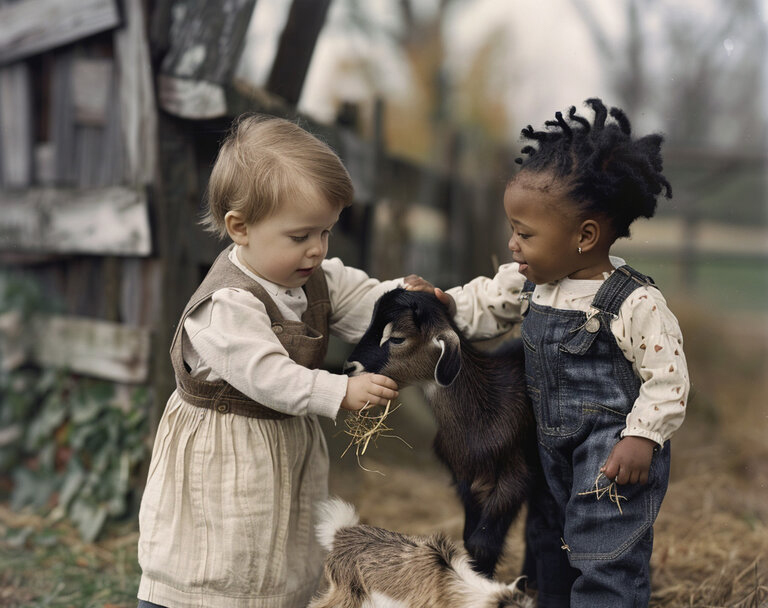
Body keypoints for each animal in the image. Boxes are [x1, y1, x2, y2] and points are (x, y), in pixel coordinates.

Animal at [344, 288, 536, 576]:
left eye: (397, 338)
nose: (348, 368)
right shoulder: (465, 476)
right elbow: (469, 539)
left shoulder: (514, 474)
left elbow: (482, 544)